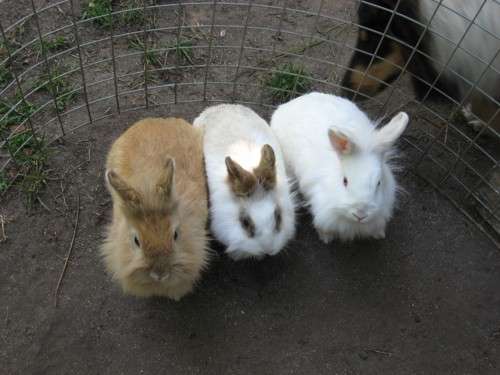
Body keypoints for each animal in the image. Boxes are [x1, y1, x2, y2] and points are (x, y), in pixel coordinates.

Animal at [272, 92, 408, 242]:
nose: (360, 214)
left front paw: (379, 234)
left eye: (379, 183)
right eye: (345, 181)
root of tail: (292, 102)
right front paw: (326, 238)